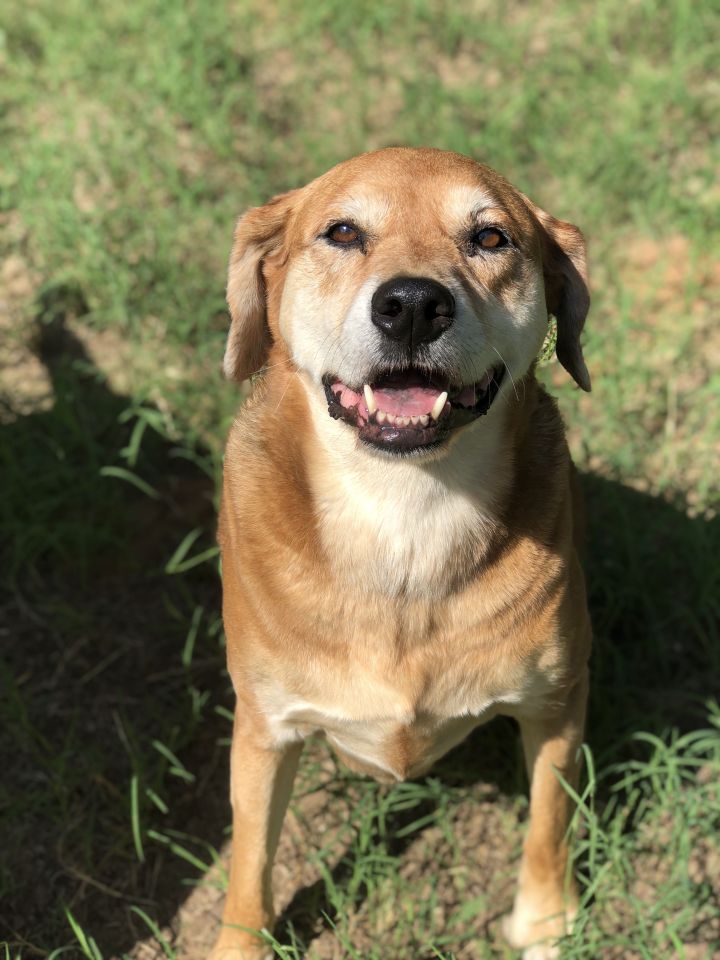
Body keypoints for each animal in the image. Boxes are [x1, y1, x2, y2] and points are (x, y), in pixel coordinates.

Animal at [212, 148, 592, 960]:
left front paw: (546, 921)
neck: (406, 515)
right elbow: (251, 856)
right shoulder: (264, 726)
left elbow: (549, 820)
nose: (413, 304)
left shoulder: (557, 700)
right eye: (342, 231)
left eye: (491, 238)